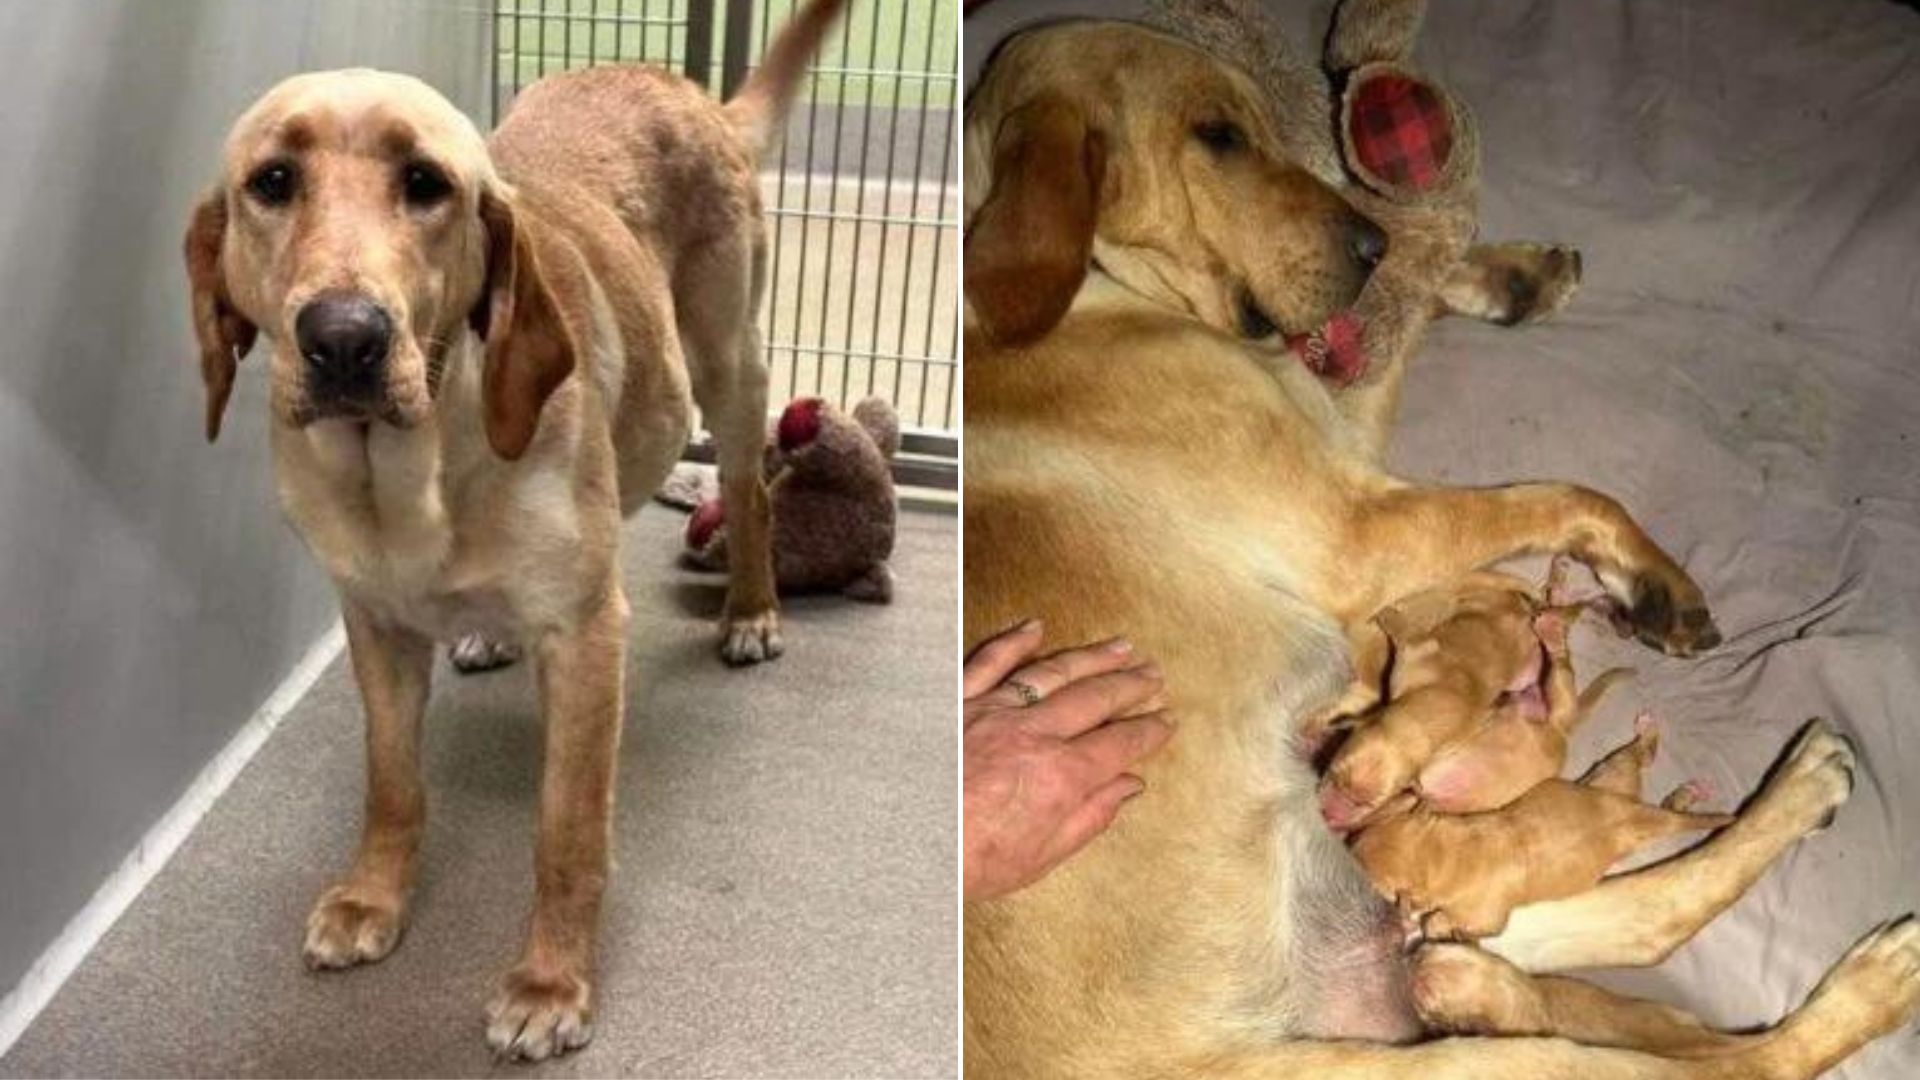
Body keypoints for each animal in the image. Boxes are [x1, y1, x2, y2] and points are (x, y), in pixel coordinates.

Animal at [178, 0, 848, 1060]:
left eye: (426, 184)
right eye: (272, 182)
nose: (344, 339)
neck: (409, 476)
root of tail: (683, 89)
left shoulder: (585, 637)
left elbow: (567, 835)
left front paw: (549, 982)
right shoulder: (376, 629)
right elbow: (392, 785)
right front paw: (373, 899)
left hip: (728, 363)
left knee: (750, 488)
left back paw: (750, 609)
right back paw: (490, 631)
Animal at [960, 8, 1920, 1076]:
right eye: (1218, 137)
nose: (1370, 238)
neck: (1084, 283)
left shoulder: (1339, 434)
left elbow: (1409, 310)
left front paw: (1500, 274)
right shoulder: (1357, 528)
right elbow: (1571, 491)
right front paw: (1656, 578)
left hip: (1436, 912)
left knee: (1645, 919)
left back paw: (1805, 795)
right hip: (1467, 1036)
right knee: (1738, 1050)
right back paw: (1873, 971)